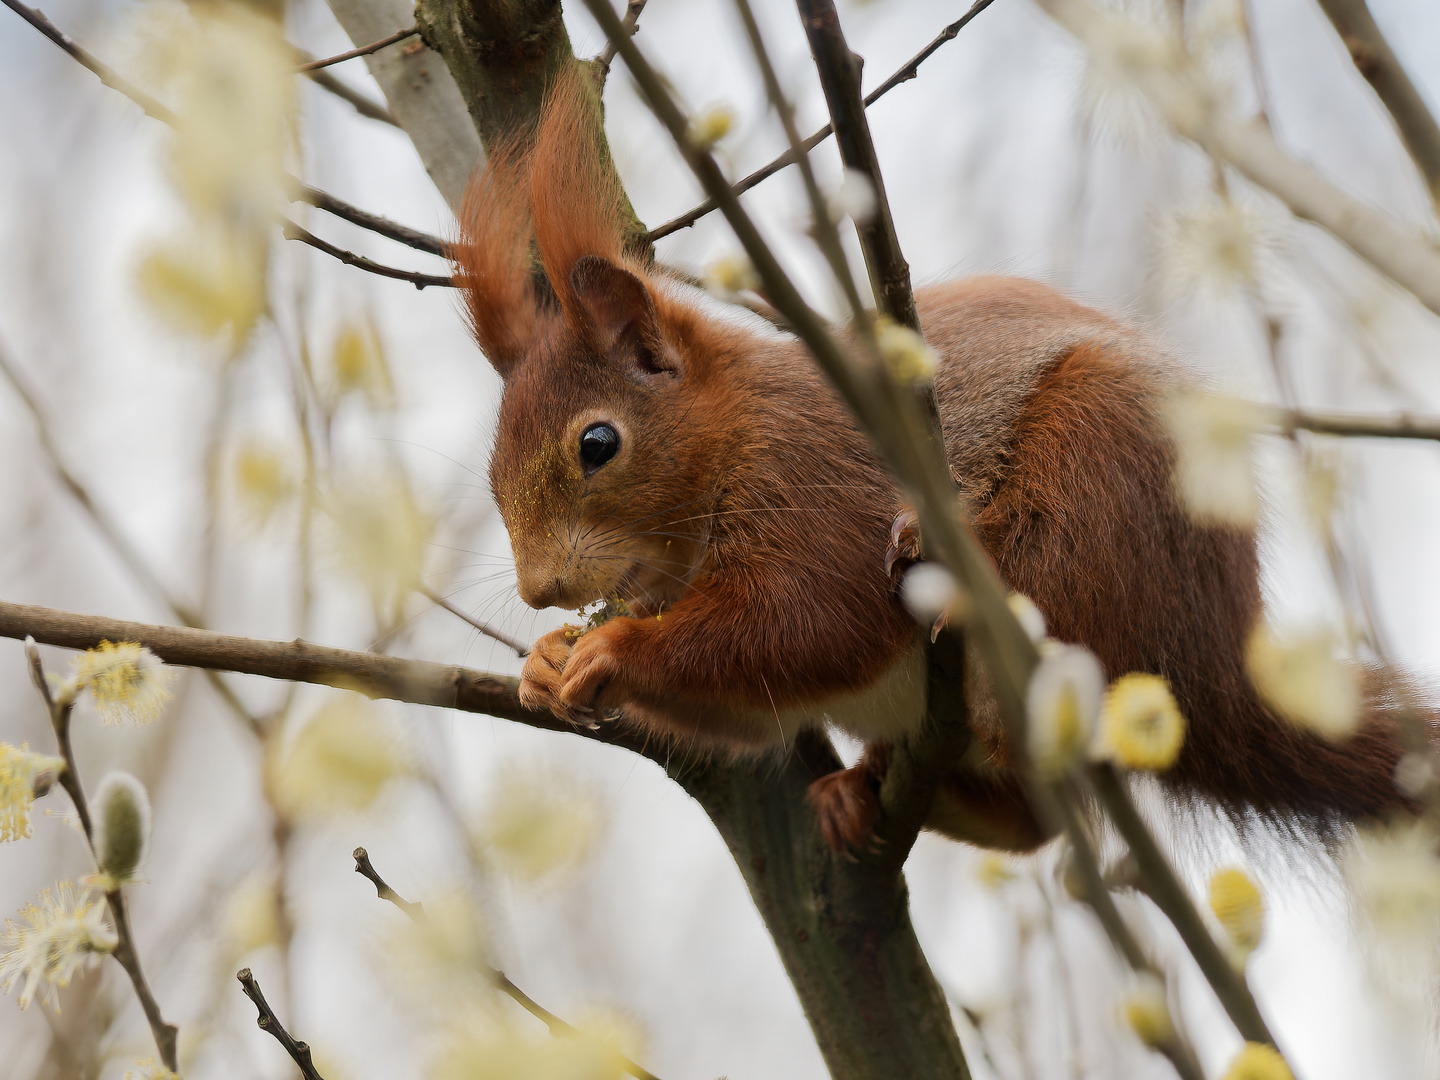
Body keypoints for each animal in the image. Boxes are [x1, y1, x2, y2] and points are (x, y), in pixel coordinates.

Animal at [457, 74, 1416, 852]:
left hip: (1100, 469)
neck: (733, 438)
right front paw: (545, 662)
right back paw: (863, 791)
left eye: (598, 444)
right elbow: (751, 720)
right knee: (1032, 828)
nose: (539, 589)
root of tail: (1213, 674)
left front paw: (612, 646)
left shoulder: (820, 486)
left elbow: (807, 623)